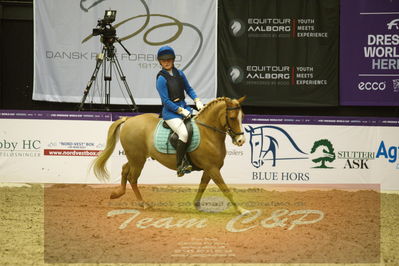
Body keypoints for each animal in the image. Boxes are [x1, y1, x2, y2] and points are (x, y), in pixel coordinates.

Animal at [94, 96, 250, 215]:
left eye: (243, 117)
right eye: (232, 117)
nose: (241, 141)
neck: (208, 132)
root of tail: (128, 119)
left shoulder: (210, 169)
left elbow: (202, 186)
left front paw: (197, 205)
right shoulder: (212, 168)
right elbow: (226, 189)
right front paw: (241, 210)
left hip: (136, 158)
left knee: (125, 169)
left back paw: (117, 193)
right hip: (137, 159)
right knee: (133, 178)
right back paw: (143, 204)